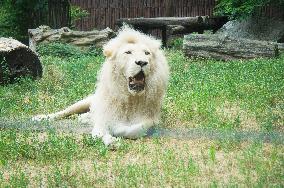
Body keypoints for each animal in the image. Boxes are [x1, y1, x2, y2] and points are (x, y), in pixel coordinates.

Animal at [34, 25, 170, 145]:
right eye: (128, 52)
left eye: (147, 53)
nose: (142, 62)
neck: (131, 98)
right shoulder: (104, 115)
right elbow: (99, 130)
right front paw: (110, 140)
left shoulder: (151, 119)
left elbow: (135, 129)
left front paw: (115, 131)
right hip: (83, 103)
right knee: (63, 112)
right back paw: (40, 118)